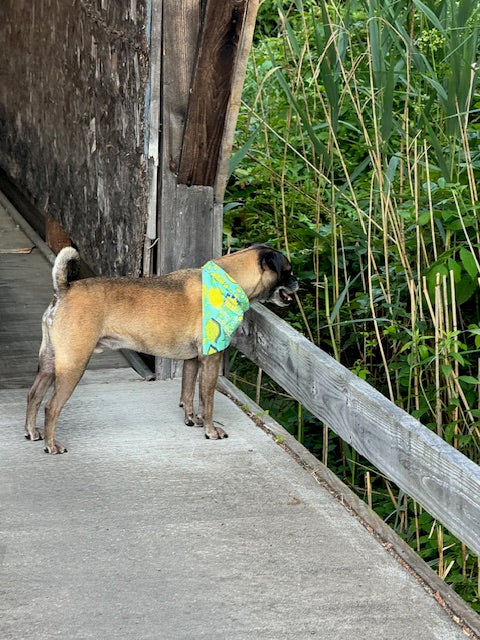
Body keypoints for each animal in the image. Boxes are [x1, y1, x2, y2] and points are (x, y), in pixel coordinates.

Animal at [25, 242, 300, 452]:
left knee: (34, 395)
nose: (298, 281)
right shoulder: (211, 359)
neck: (228, 283)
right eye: (287, 271)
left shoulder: (192, 361)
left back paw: (32, 431)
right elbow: (207, 399)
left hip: (48, 362)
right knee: (51, 406)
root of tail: (64, 289)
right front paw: (210, 430)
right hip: (73, 365)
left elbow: (188, 393)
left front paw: (191, 419)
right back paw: (51, 444)